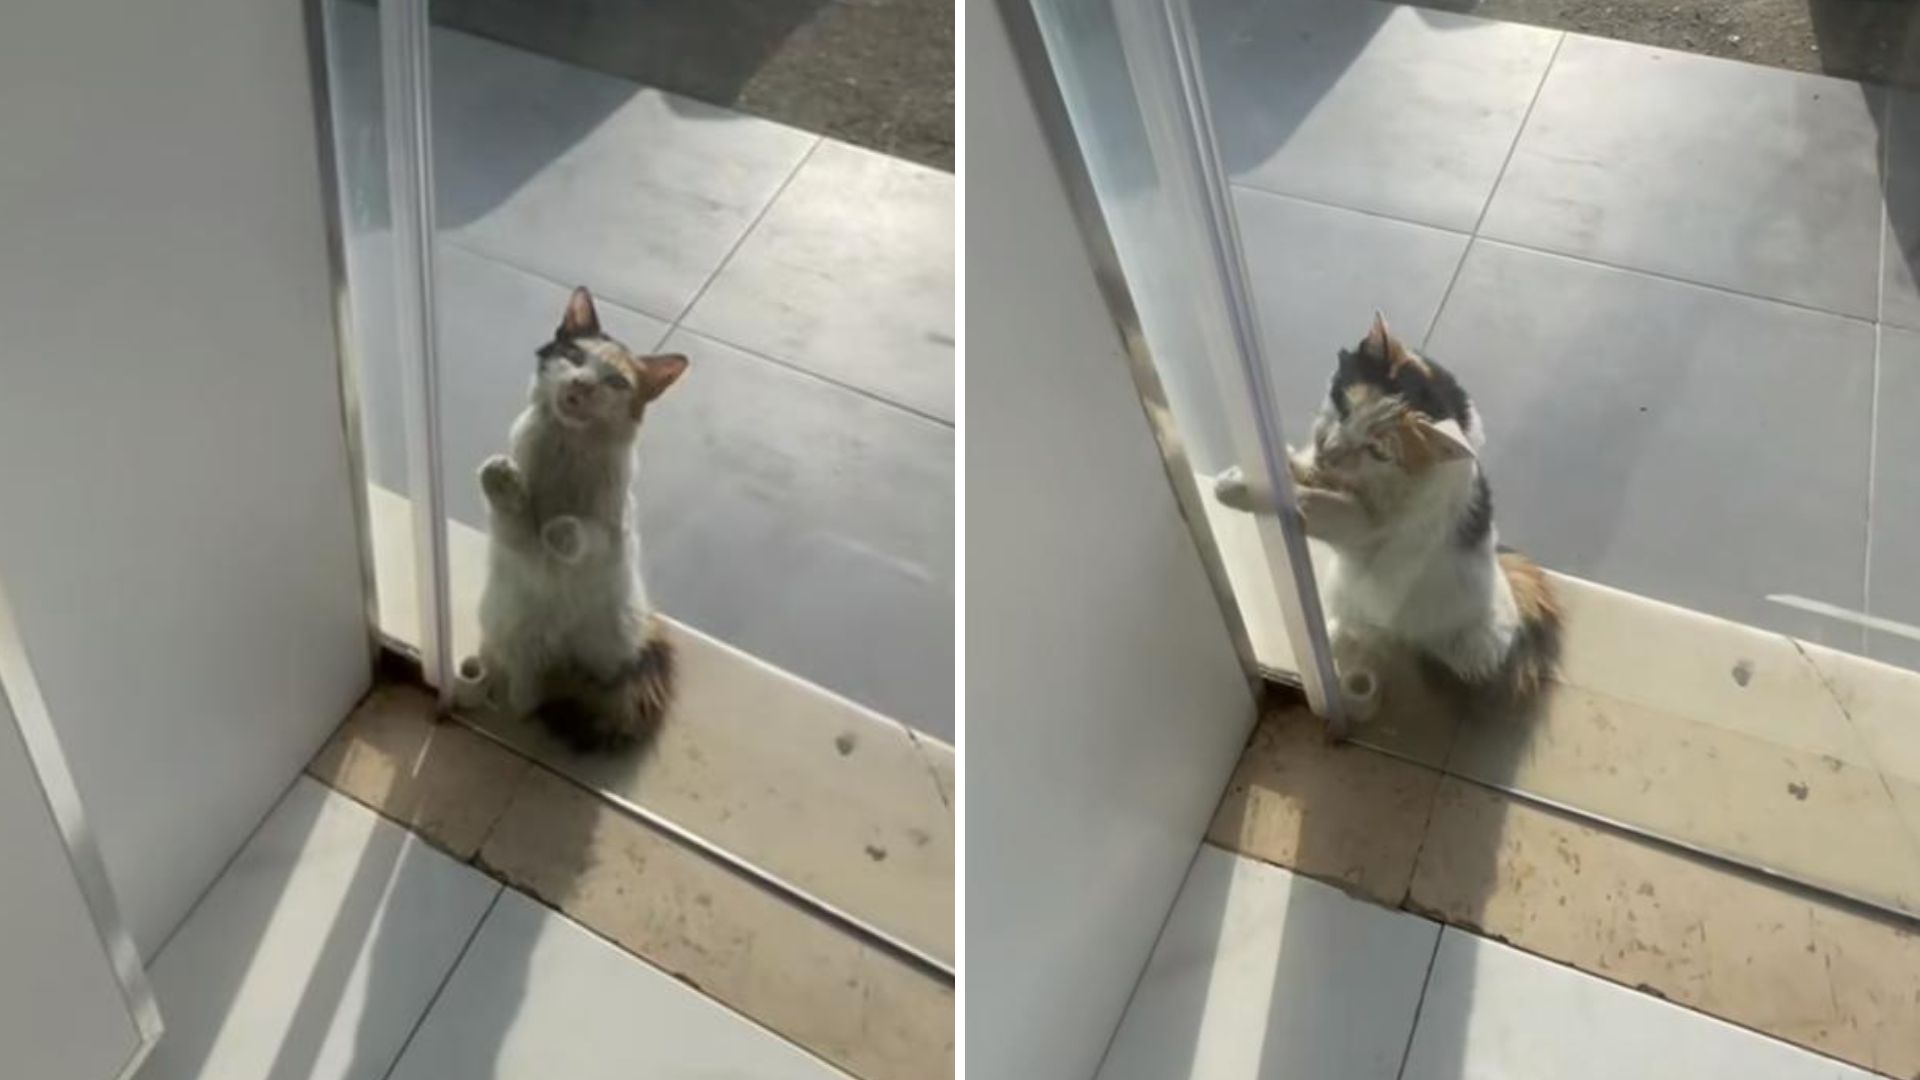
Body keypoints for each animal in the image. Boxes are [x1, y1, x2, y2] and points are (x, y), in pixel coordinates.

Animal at [456, 284, 691, 749]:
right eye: (574, 356)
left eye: (616, 381)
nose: (581, 383)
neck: (567, 447)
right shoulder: (513, 542)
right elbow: (515, 513)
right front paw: (502, 479)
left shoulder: (613, 531)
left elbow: (581, 528)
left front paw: (560, 531)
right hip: (510, 626)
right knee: (525, 699)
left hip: (610, 642)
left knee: (598, 682)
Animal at [1213, 309, 1559, 707]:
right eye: (1344, 405)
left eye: (1378, 450)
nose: (1330, 448)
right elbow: (1302, 469)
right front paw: (1267, 465)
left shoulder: (1362, 527)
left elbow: (1308, 501)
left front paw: (1236, 488)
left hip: (1462, 642)